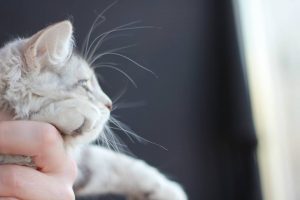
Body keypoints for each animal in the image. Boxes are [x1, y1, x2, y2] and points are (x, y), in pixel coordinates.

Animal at [0, 20, 188, 200]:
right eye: (85, 84)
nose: (110, 104)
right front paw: (71, 113)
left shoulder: (82, 162)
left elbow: (110, 163)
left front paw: (170, 191)